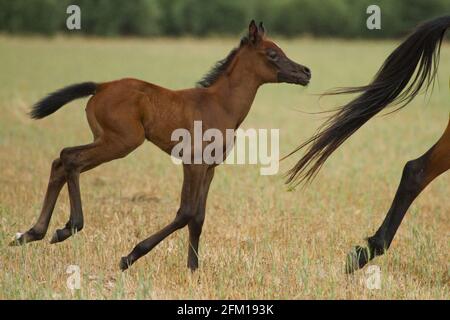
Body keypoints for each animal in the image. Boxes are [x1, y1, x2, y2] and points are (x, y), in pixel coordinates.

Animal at [12, 20, 312, 272]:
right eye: (272, 54)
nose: (306, 72)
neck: (220, 104)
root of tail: (101, 86)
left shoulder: (210, 167)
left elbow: (199, 217)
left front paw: (193, 269)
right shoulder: (193, 162)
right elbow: (186, 212)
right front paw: (130, 256)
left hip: (105, 139)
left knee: (60, 161)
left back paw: (31, 233)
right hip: (120, 141)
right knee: (70, 158)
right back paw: (68, 227)